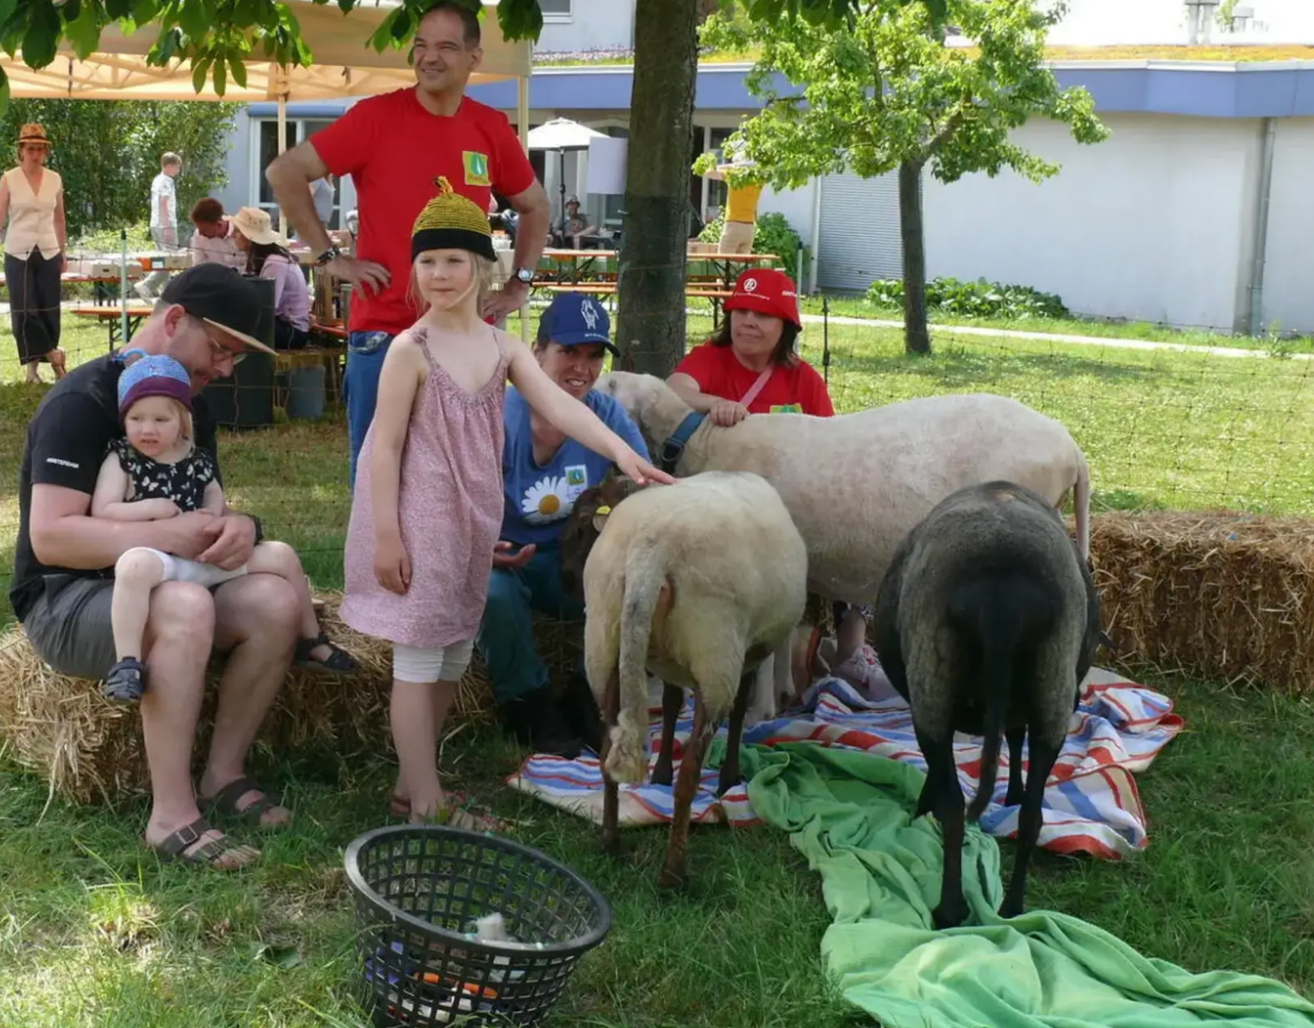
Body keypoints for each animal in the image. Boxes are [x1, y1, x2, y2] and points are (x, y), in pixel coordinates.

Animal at [560, 469, 808, 888]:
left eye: (580, 526)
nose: (563, 580)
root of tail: (649, 552)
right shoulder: (747, 651)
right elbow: (737, 713)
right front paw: (729, 779)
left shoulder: (667, 663)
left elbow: (673, 703)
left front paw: (660, 771)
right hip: (716, 651)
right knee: (690, 772)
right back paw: (673, 875)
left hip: (604, 645)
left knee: (609, 749)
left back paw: (610, 841)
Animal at [870, 480, 1105, 929]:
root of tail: (1001, 596)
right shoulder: (1021, 708)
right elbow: (1014, 739)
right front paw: (1012, 790)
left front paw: (922, 804)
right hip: (1053, 687)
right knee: (1032, 815)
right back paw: (1013, 910)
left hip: (932, 686)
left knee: (954, 809)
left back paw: (949, 910)